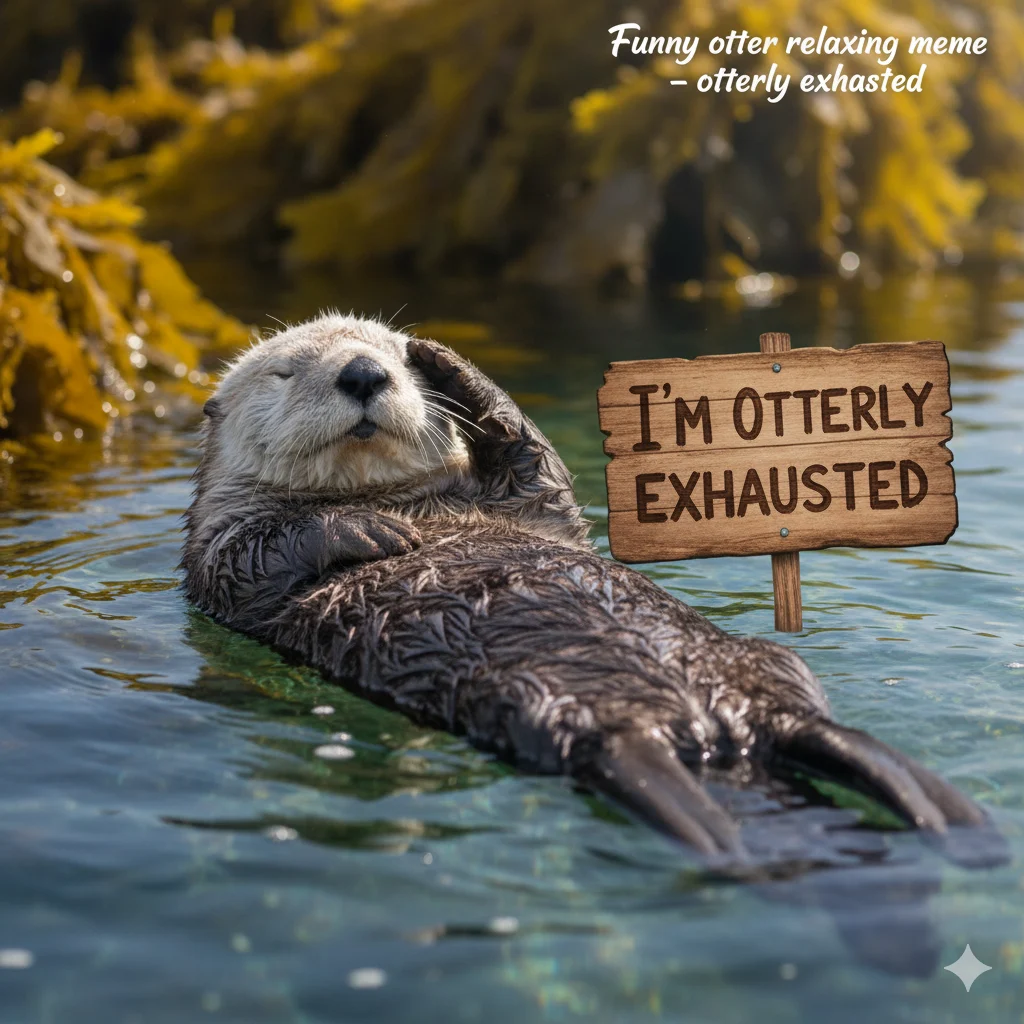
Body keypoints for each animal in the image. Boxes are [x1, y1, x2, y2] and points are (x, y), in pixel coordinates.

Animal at [182, 313, 993, 860]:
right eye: (286, 372)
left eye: (392, 360)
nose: (363, 372)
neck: (396, 496)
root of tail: (707, 731)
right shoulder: (217, 555)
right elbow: (251, 555)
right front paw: (374, 533)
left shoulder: (527, 502)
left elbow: (531, 453)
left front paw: (445, 360)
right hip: (546, 705)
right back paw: (730, 839)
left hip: (761, 671)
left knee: (813, 724)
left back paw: (954, 821)